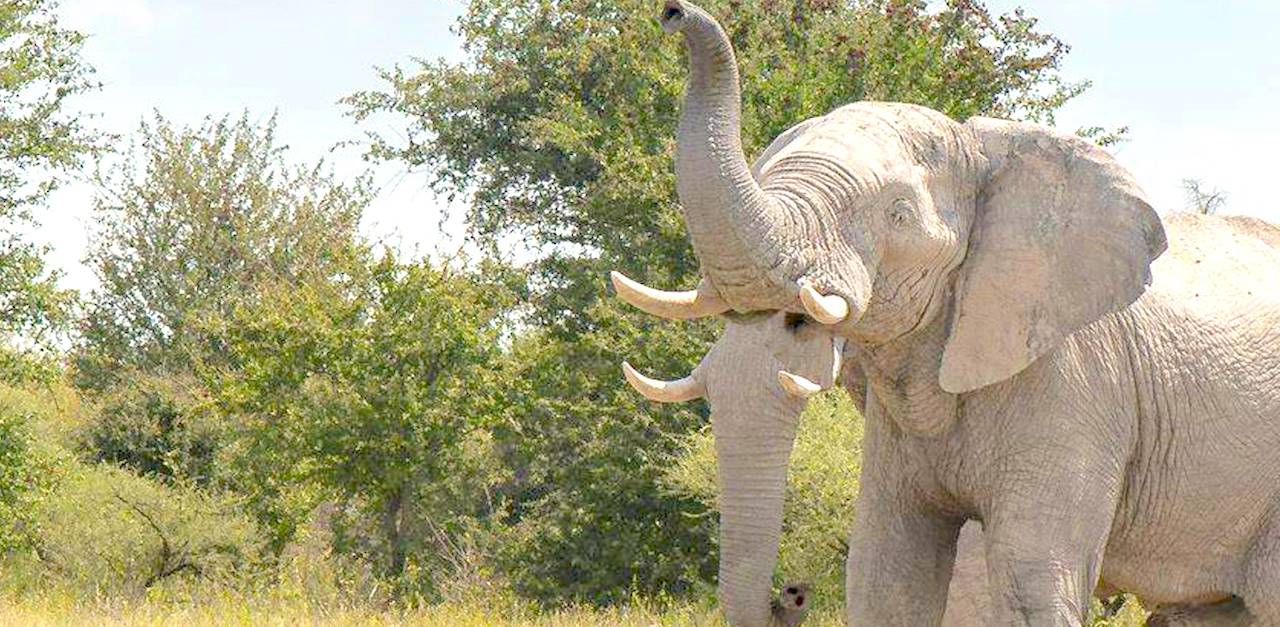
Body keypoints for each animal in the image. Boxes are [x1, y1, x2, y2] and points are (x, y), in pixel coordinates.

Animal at [609, 1, 1280, 627]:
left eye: (899, 216)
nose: (674, 13)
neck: (987, 149)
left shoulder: (1079, 384)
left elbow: (1029, 581)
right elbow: (886, 575)